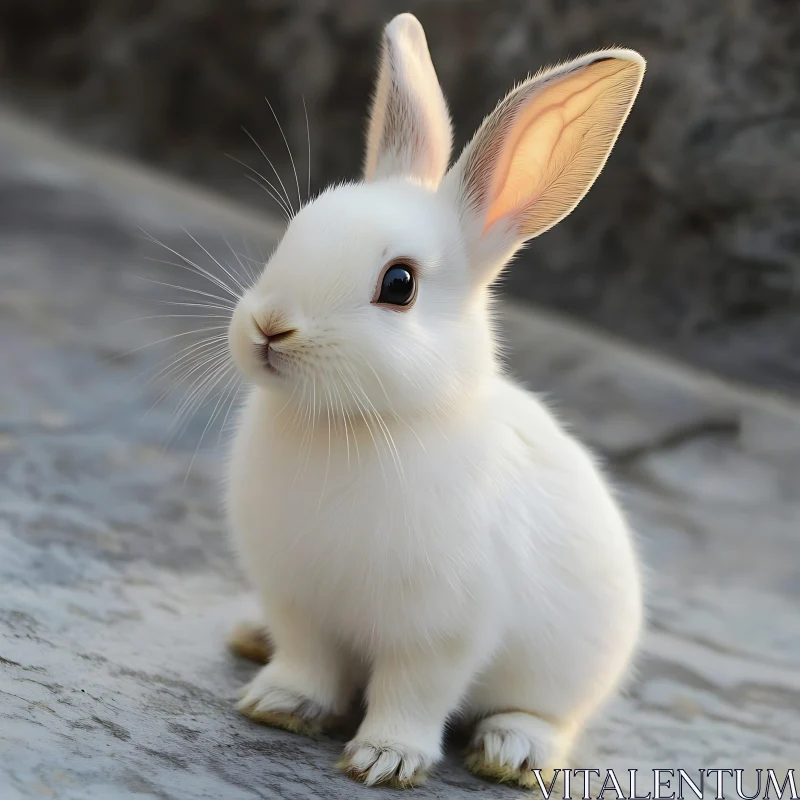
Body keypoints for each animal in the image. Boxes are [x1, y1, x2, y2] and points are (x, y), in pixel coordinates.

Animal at [223, 10, 644, 788]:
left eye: (400, 285)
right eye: (296, 231)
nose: (269, 327)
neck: (349, 425)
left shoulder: (442, 631)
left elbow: (412, 692)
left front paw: (385, 760)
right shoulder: (299, 599)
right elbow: (310, 662)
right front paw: (280, 703)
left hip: (568, 670)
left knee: (549, 719)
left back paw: (512, 751)